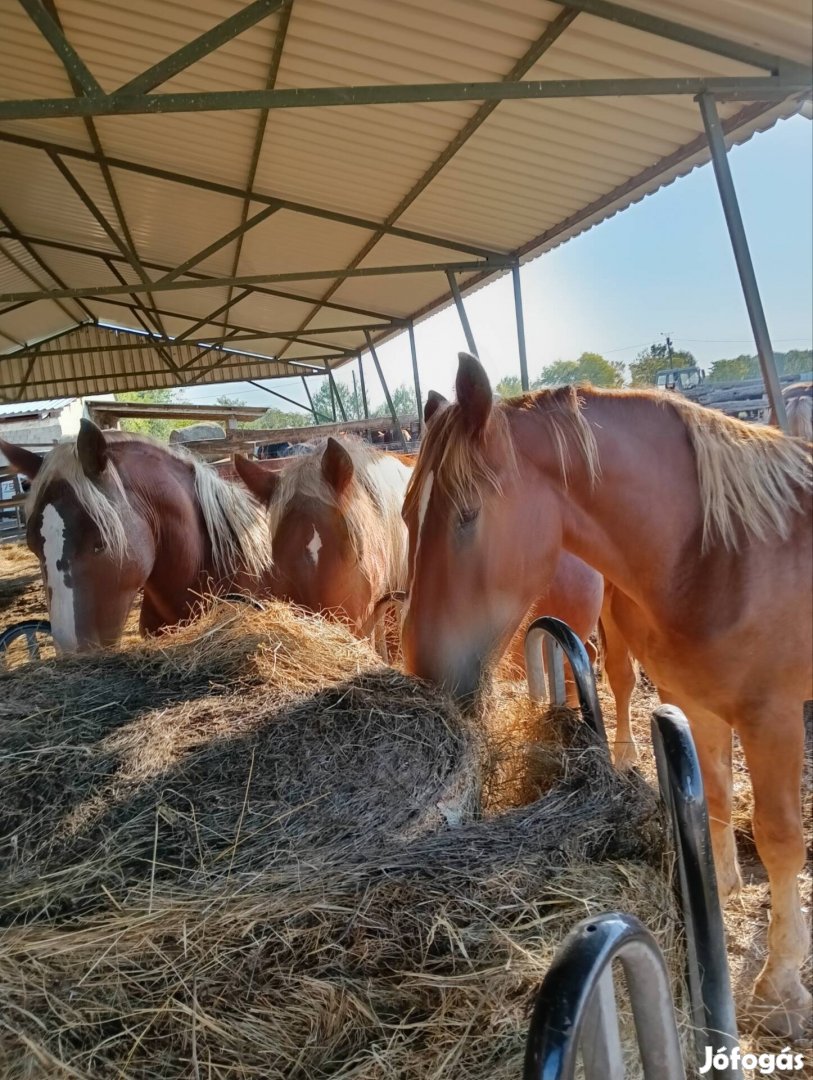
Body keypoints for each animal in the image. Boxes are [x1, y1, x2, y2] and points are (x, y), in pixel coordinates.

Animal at [401, 352, 811, 1036]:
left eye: (467, 515)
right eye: (407, 515)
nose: (426, 673)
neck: (723, 553)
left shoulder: (771, 716)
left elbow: (780, 840)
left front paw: (780, 990)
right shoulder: (698, 701)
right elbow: (717, 795)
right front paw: (724, 885)